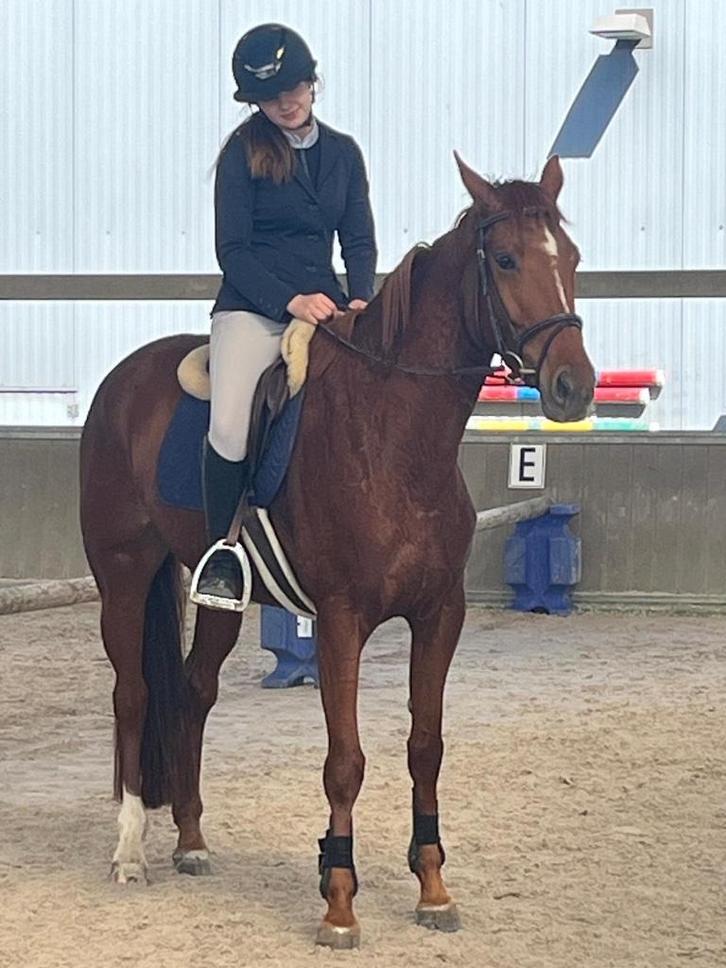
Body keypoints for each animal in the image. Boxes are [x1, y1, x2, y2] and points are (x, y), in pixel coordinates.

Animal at [79, 153, 595, 949]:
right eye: (506, 259)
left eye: (569, 259)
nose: (575, 385)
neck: (395, 438)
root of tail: (121, 380)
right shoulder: (342, 623)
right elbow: (345, 761)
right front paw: (340, 901)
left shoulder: (439, 614)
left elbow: (425, 746)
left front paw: (433, 890)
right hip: (124, 574)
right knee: (133, 694)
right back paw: (131, 851)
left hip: (220, 594)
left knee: (194, 690)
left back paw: (191, 842)